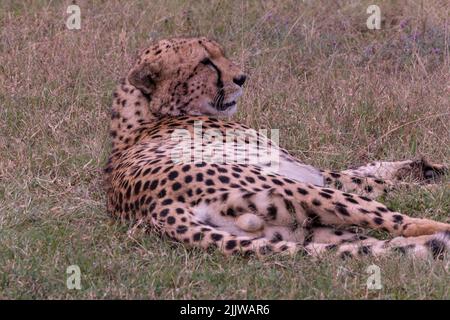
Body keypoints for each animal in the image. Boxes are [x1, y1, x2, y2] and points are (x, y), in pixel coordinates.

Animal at [103, 37, 448, 260]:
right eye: (205, 62)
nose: (242, 78)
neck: (148, 114)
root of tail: (156, 208)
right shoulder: (309, 175)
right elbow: (381, 183)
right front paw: (432, 182)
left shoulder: (313, 171)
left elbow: (369, 169)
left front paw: (428, 167)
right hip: (298, 191)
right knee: (402, 221)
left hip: (302, 230)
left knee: (374, 242)